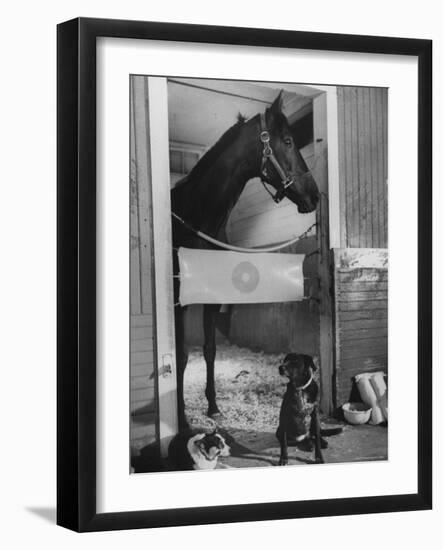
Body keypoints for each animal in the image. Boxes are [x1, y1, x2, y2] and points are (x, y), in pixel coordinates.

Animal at [172, 92, 320, 434]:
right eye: (288, 140)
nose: (316, 195)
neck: (197, 217)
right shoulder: (179, 302)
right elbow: (182, 355)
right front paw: (182, 418)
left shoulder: (212, 297)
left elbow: (209, 350)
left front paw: (213, 407)